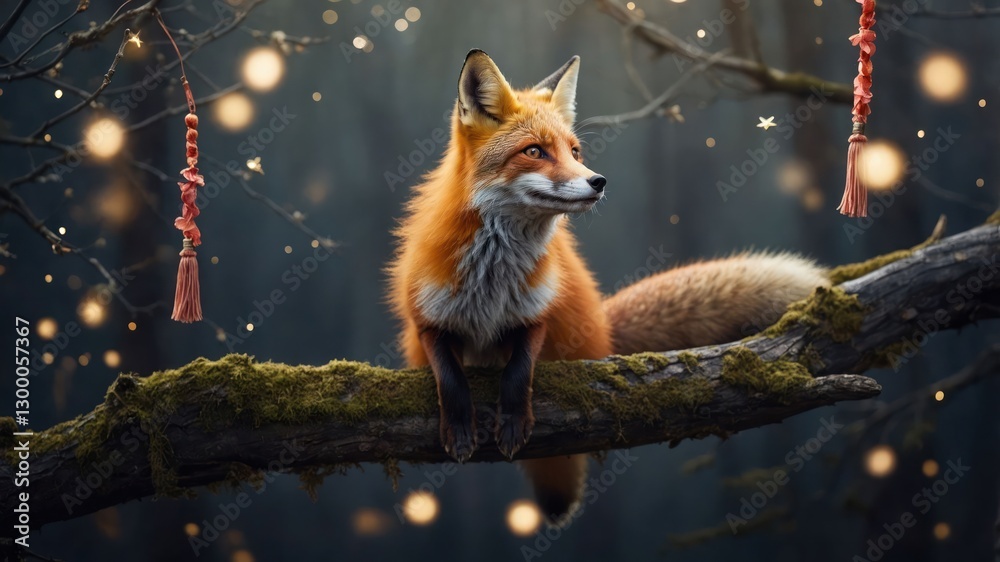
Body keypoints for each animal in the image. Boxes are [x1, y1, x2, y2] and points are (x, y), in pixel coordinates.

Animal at [387, 50, 830, 523]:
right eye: (534, 151)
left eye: (574, 151)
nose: (597, 181)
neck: (492, 278)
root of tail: (602, 331)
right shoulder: (426, 320)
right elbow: (450, 377)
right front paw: (459, 427)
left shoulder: (536, 314)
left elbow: (519, 372)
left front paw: (513, 419)